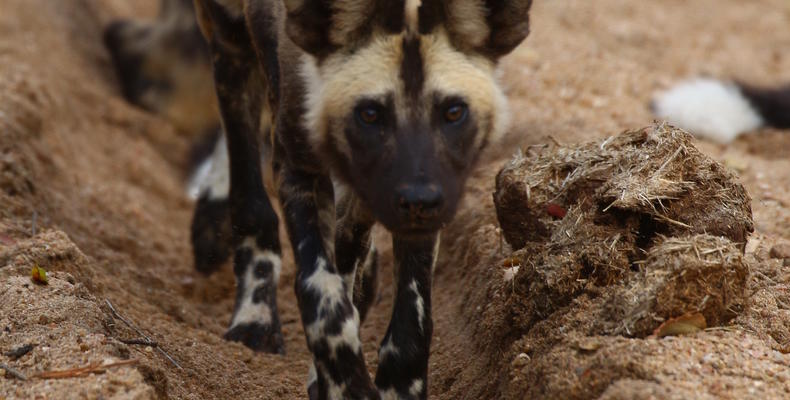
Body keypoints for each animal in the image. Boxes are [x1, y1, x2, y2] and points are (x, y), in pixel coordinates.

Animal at [106, 1, 532, 398]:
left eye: (454, 112)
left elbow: (411, 319)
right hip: (231, 48)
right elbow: (319, 295)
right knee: (246, 178)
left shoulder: (426, 194)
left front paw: (394, 385)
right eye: (370, 114)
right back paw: (251, 305)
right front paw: (343, 385)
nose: (418, 195)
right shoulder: (299, 167)